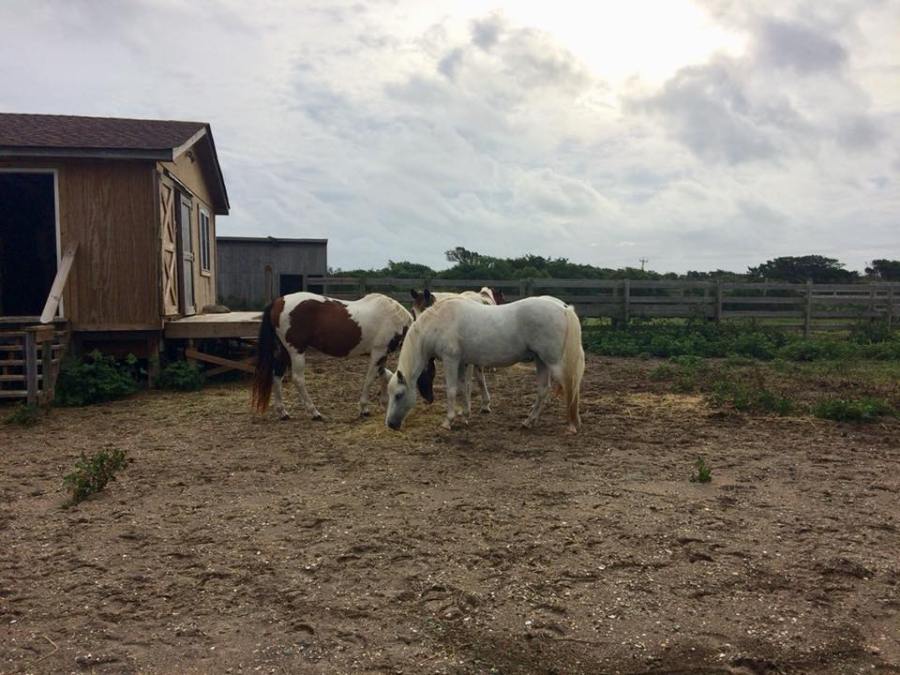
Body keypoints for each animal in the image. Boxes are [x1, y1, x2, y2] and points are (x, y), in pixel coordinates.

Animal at [250, 292, 412, 420]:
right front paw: (364, 409)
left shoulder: (382, 355)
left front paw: (385, 401)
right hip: (296, 351)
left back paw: (283, 412)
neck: (394, 317)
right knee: (298, 379)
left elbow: (386, 375)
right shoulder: (378, 353)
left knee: (277, 376)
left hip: (284, 352)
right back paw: (314, 412)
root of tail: (279, 301)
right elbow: (370, 379)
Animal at [384, 296, 584, 434]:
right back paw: (528, 421)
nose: (391, 424)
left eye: (399, 395)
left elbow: (452, 390)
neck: (438, 322)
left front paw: (448, 421)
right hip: (540, 360)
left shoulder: (451, 360)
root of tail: (563, 308)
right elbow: (463, 388)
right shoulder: (462, 362)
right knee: (543, 390)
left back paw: (571, 425)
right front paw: (465, 415)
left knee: (570, 388)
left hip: (553, 362)